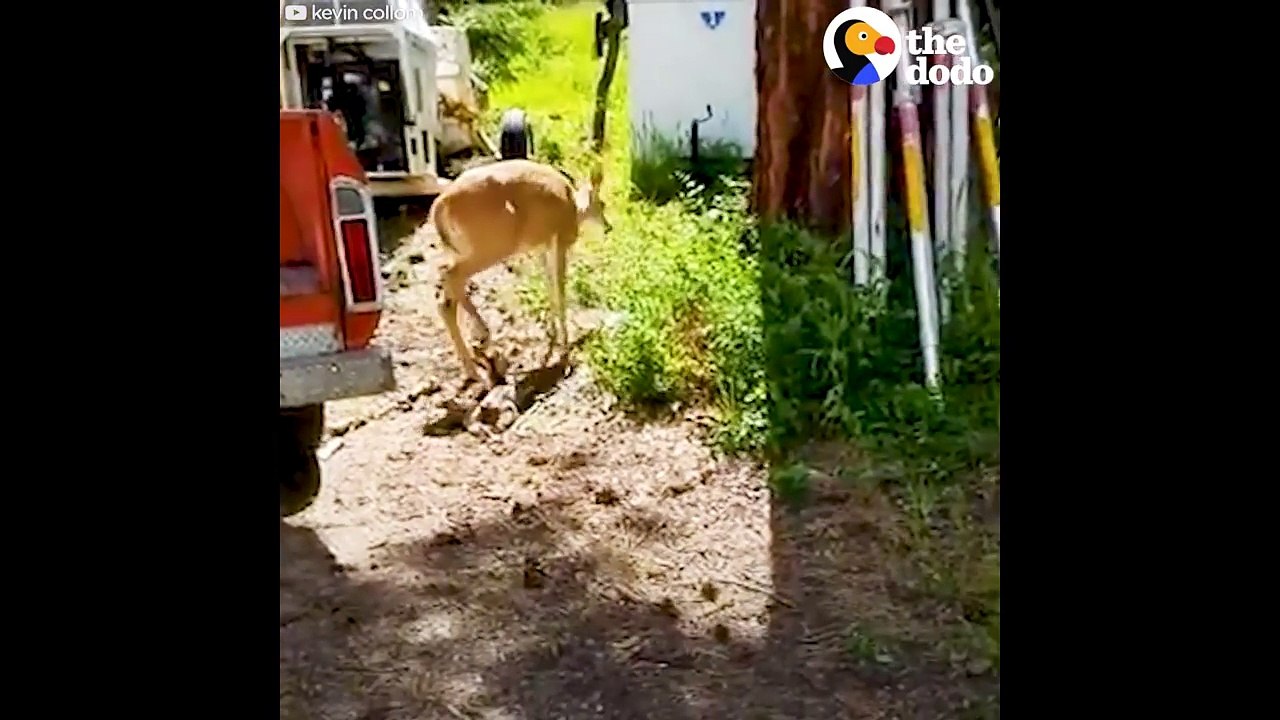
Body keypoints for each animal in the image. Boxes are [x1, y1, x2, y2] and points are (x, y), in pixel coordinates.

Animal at [428, 158, 607, 387]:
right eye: (603, 203)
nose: (609, 226)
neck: (574, 207)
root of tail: (438, 207)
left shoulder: (541, 247)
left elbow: (549, 286)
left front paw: (552, 336)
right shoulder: (560, 240)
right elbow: (560, 289)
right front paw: (566, 348)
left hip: (462, 250)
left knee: (445, 298)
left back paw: (476, 369)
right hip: (493, 245)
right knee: (451, 276)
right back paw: (484, 343)